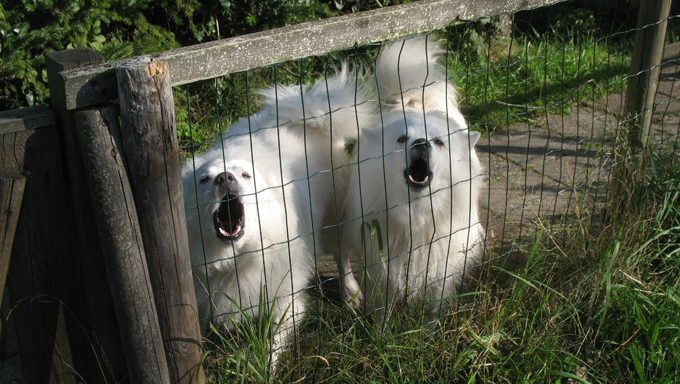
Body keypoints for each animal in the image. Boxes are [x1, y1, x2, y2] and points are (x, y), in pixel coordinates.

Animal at [338, 36, 486, 324]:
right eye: (401, 139)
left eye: (439, 142)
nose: (420, 144)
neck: (416, 210)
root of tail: (416, 98)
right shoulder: (381, 259)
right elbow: (382, 308)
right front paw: (380, 331)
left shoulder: (442, 260)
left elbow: (434, 307)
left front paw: (430, 330)